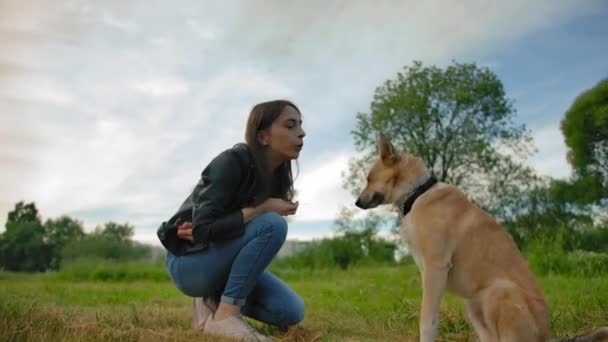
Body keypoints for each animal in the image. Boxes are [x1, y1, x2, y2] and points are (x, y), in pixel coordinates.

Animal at [354, 134, 604, 342]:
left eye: (369, 179)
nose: (356, 202)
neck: (416, 193)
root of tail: (546, 336)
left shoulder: (435, 268)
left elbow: (427, 321)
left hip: (498, 292)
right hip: (474, 305)